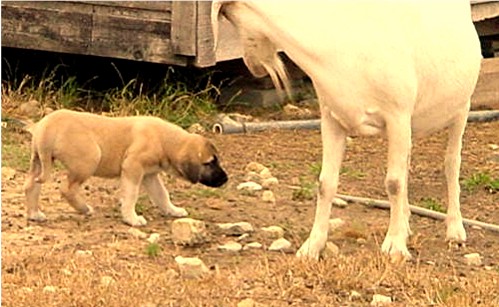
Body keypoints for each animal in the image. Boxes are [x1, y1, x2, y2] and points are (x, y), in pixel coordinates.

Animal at [23, 109, 227, 227]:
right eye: (210, 162)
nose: (226, 179)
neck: (165, 141)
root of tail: (46, 126)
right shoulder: (132, 168)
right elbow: (131, 195)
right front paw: (132, 219)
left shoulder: (150, 175)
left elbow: (162, 195)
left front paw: (173, 210)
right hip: (88, 160)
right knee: (66, 188)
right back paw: (84, 209)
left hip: (38, 162)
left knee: (31, 186)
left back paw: (34, 214)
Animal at [212, 1, 484, 262]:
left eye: (230, 20)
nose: (252, 67)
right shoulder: (331, 119)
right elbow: (326, 183)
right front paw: (312, 246)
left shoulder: (397, 115)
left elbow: (394, 183)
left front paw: (395, 246)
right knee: (407, 164)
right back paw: (406, 225)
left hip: (461, 109)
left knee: (451, 164)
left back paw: (455, 230)